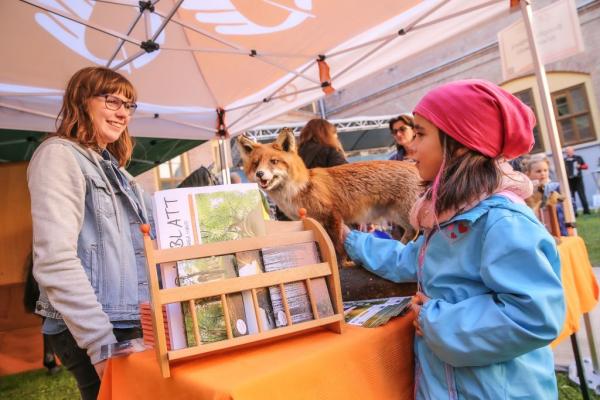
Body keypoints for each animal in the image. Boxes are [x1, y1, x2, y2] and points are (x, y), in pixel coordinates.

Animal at [239, 129, 422, 253]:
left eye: (274, 161)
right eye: (256, 163)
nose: (259, 174)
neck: (300, 189)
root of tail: (414, 166)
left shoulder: (332, 215)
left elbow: (336, 247)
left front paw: (342, 265)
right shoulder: (310, 223)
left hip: (405, 212)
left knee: (417, 231)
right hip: (398, 215)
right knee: (412, 232)